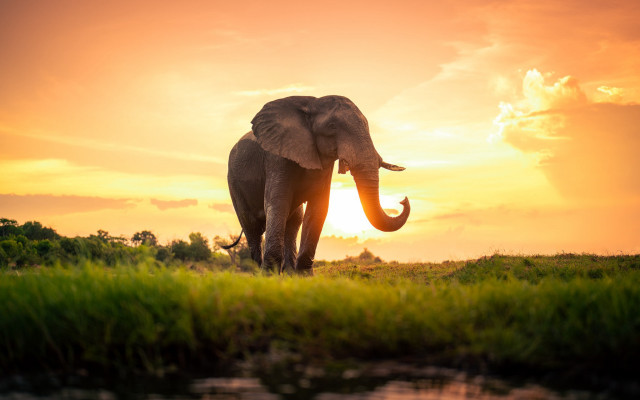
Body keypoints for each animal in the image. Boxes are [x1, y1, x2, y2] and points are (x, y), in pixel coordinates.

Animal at [224, 95, 410, 275]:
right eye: (332, 126)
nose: (403, 200)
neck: (311, 104)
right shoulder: (277, 158)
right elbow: (277, 203)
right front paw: (269, 277)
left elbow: (319, 206)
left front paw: (304, 276)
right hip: (233, 182)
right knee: (251, 225)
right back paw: (259, 273)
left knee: (294, 221)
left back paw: (288, 273)